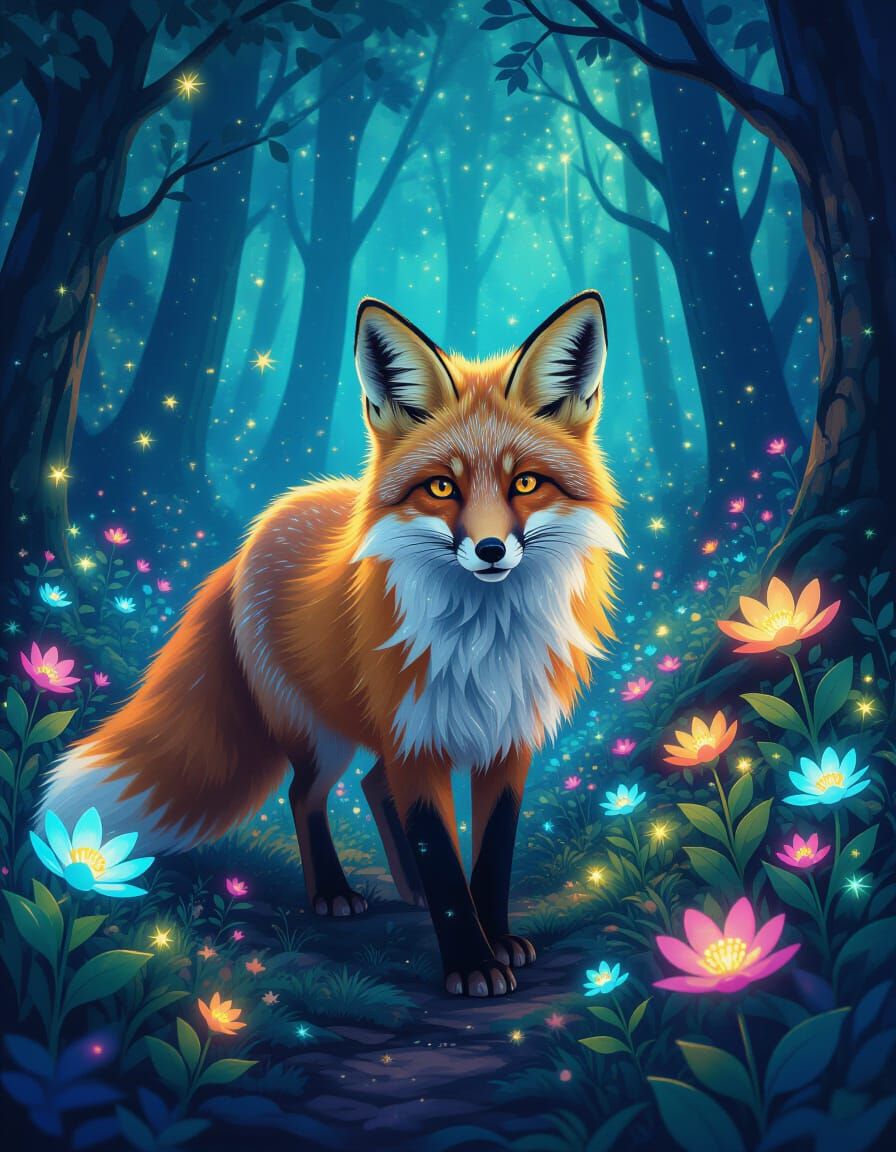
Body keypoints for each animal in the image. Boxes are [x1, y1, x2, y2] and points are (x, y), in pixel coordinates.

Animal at [39, 291, 623, 998]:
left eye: (527, 483)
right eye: (443, 487)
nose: (489, 550)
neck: (484, 644)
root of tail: (258, 531)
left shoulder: (508, 742)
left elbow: (491, 858)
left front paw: (497, 939)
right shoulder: (414, 738)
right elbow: (443, 859)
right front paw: (471, 963)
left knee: (370, 786)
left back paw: (408, 890)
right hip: (322, 735)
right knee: (306, 796)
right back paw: (336, 894)